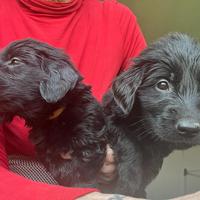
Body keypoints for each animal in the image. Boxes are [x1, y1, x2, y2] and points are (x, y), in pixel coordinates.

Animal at [0, 38, 107, 188]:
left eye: (15, 61)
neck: (54, 116)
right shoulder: (47, 152)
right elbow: (61, 169)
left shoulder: (89, 140)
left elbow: (81, 171)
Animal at [102, 32, 200, 197]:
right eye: (162, 84)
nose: (189, 128)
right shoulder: (110, 118)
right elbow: (129, 146)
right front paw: (128, 185)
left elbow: (151, 165)